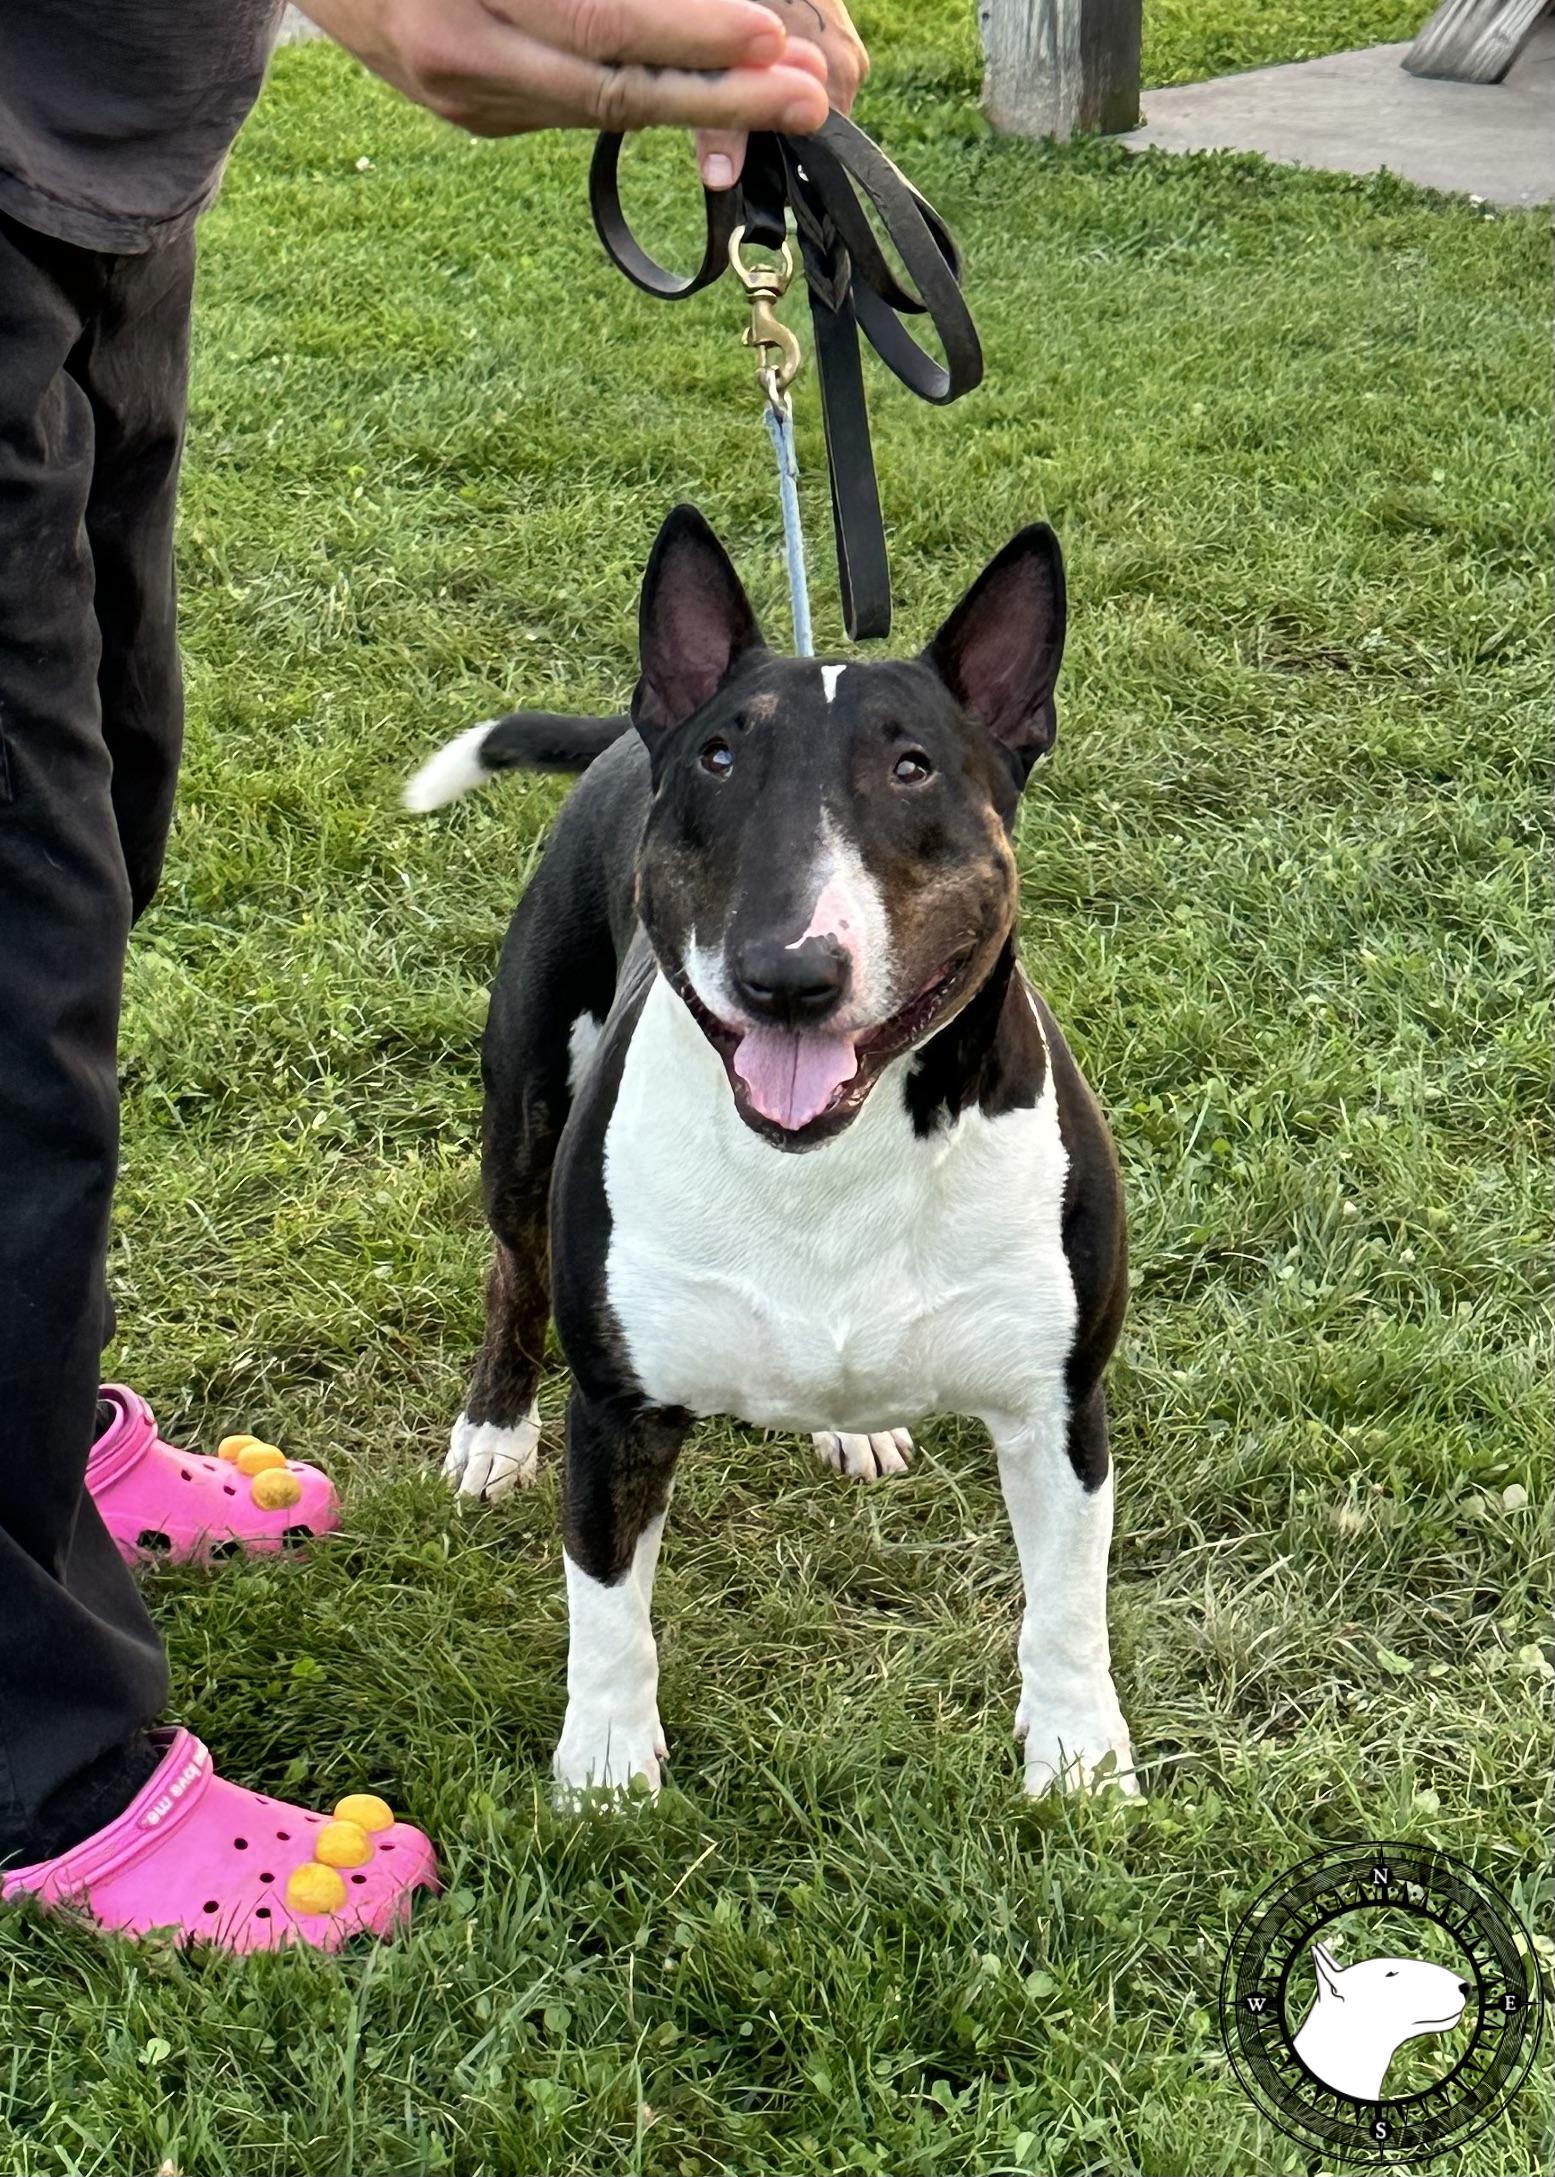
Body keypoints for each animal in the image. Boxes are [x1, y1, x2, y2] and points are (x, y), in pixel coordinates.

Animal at [409, 505, 1141, 1802]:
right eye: (720, 759)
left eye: (913, 766)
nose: (788, 973)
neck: (826, 1160)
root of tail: (627, 730)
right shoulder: (619, 1409)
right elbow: (607, 1603)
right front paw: (605, 1771)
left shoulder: (1057, 1404)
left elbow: (1064, 1605)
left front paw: (1079, 1760)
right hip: (524, 1115)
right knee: (512, 1265)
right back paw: (492, 1431)